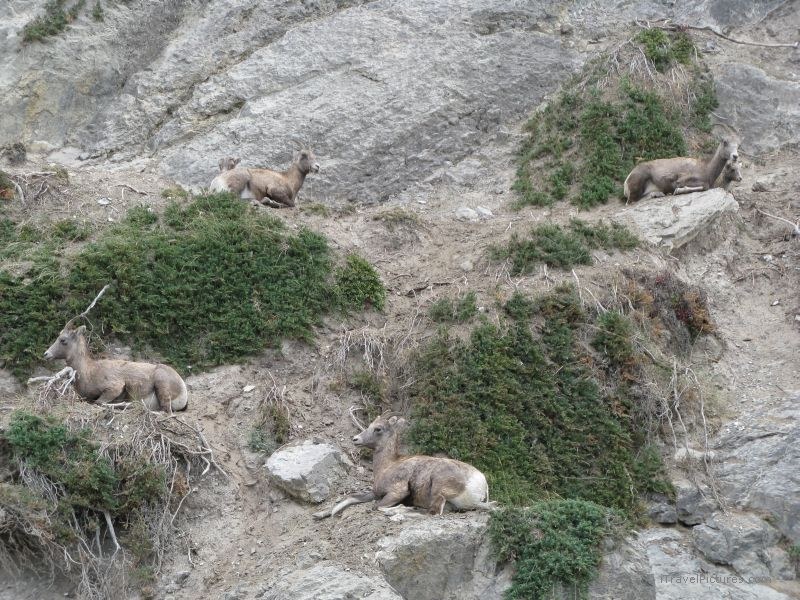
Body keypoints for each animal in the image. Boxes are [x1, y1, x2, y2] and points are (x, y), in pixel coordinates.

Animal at [43, 325, 188, 412]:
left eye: (63, 340)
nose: (46, 354)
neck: (89, 371)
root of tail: (183, 390)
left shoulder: (114, 388)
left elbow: (98, 402)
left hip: (161, 386)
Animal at [313, 415, 490, 519]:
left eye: (378, 428)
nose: (355, 439)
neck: (386, 465)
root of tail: (480, 483)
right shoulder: (374, 493)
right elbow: (350, 498)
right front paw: (320, 514)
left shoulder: (397, 492)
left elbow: (376, 506)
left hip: (438, 488)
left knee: (431, 513)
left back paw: (401, 511)